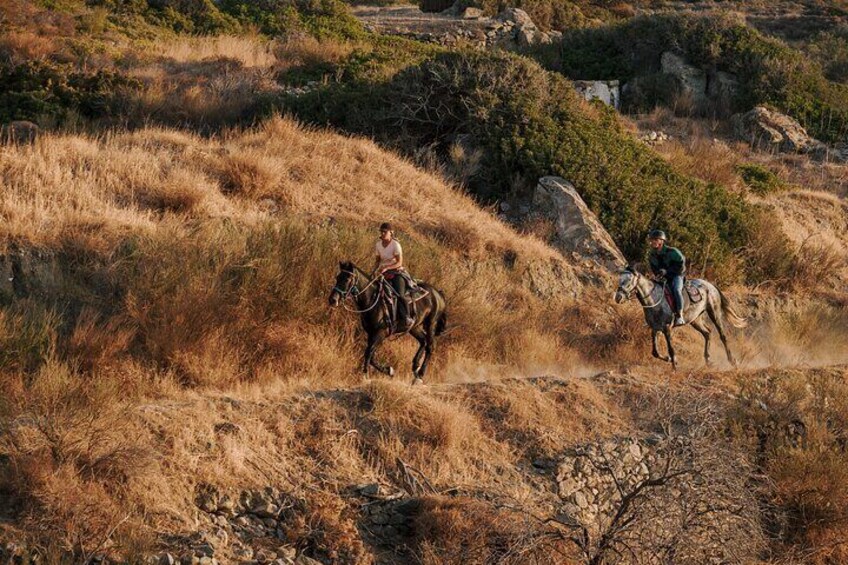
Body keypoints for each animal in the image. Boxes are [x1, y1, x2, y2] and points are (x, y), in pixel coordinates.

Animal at [612, 266, 744, 368]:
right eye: (620, 279)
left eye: (629, 281)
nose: (618, 297)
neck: (654, 299)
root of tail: (710, 285)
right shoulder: (655, 328)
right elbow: (655, 352)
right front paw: (668, 359)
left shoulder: (666, 328)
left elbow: (671, 349)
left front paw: (674, 365)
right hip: (695, 319)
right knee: (707, 333)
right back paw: (708, 360)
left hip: (714, 312)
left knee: (722, 336)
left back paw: (732, 361)